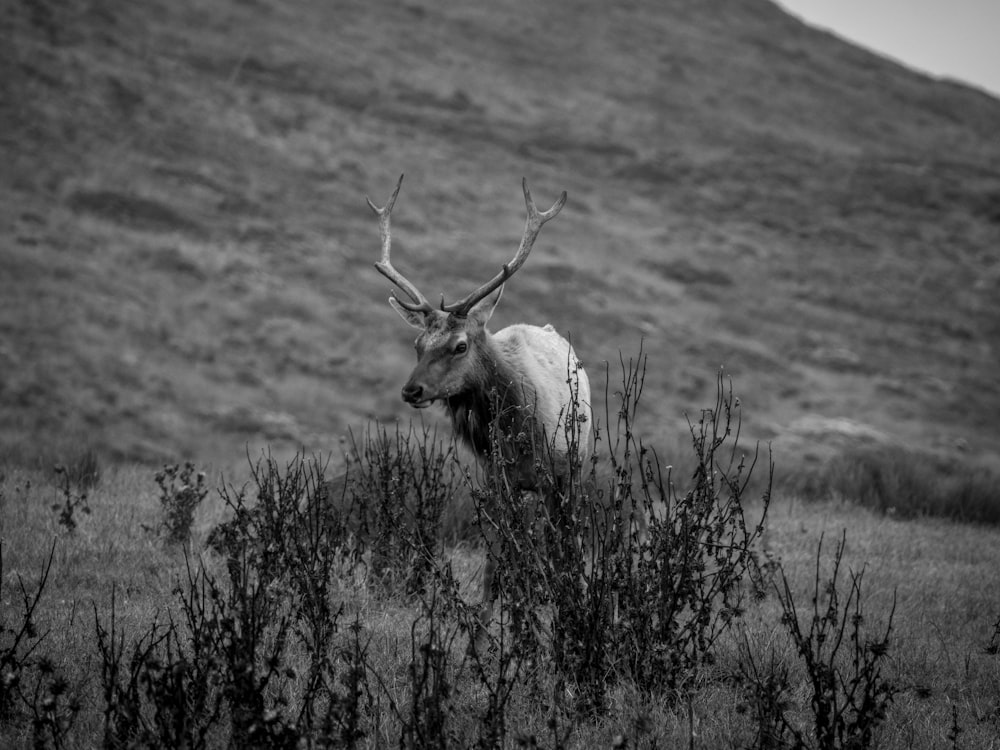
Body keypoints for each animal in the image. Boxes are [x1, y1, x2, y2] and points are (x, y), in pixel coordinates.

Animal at [368, 176, 588, 652]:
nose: (411, 390)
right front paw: (485, 637)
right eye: (417, 344)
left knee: (568, 543)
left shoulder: (554, 476)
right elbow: (497, 561)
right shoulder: (496, 480)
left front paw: (551, 627)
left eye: (460, 345)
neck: (516, 427)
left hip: (573, 472)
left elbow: (550, 553)